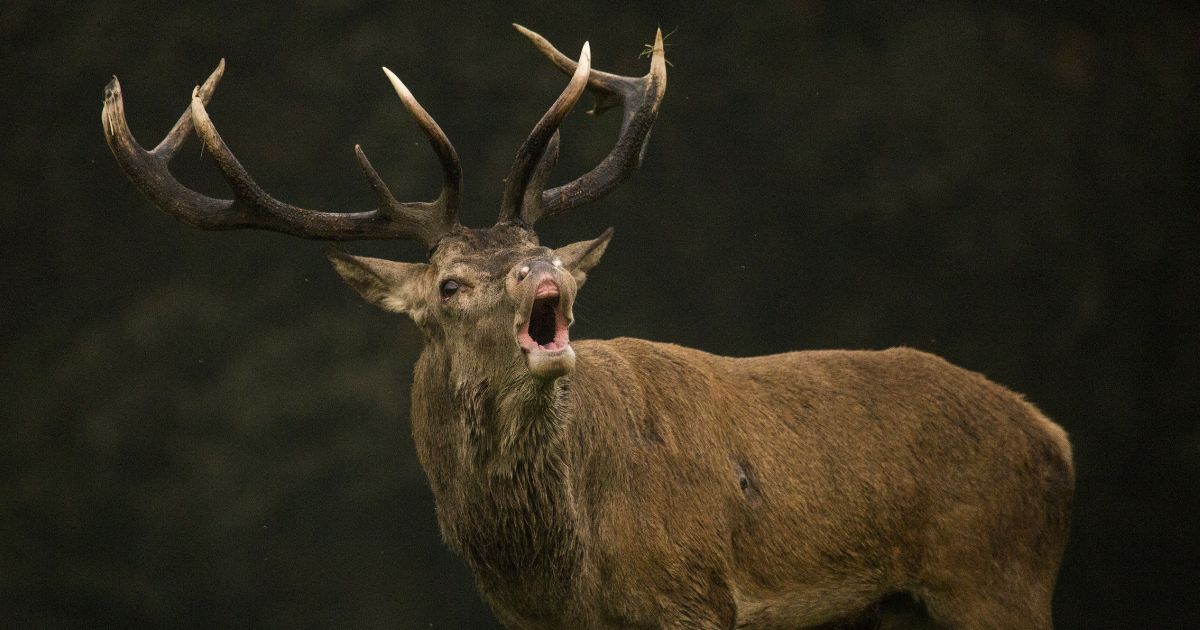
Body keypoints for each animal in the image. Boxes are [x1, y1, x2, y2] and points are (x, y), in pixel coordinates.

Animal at [101, 25, 1074, 630]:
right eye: (449, 284)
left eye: (538, 247)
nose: (548, 275)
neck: (561, 567)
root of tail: (1054, 441)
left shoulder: (694, 597)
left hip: (993, 576)